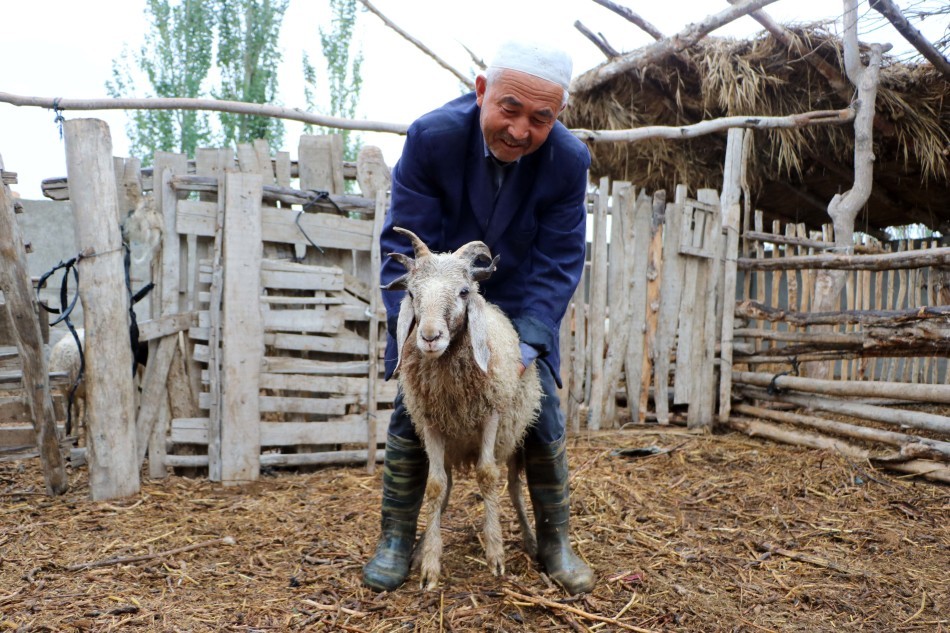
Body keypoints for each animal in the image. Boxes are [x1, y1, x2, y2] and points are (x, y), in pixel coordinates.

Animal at [382, 226, 544, 588]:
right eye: (411, 294)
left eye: (464, 291)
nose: (429, 337)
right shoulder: (430, 422)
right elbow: (435, 486)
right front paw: (430, 563)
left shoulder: (491, 415)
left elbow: (487, 476)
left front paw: (495, 554)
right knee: (447, 486)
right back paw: (420, 548)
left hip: (516, 439)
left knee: (514, 487)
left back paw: (531, 541)